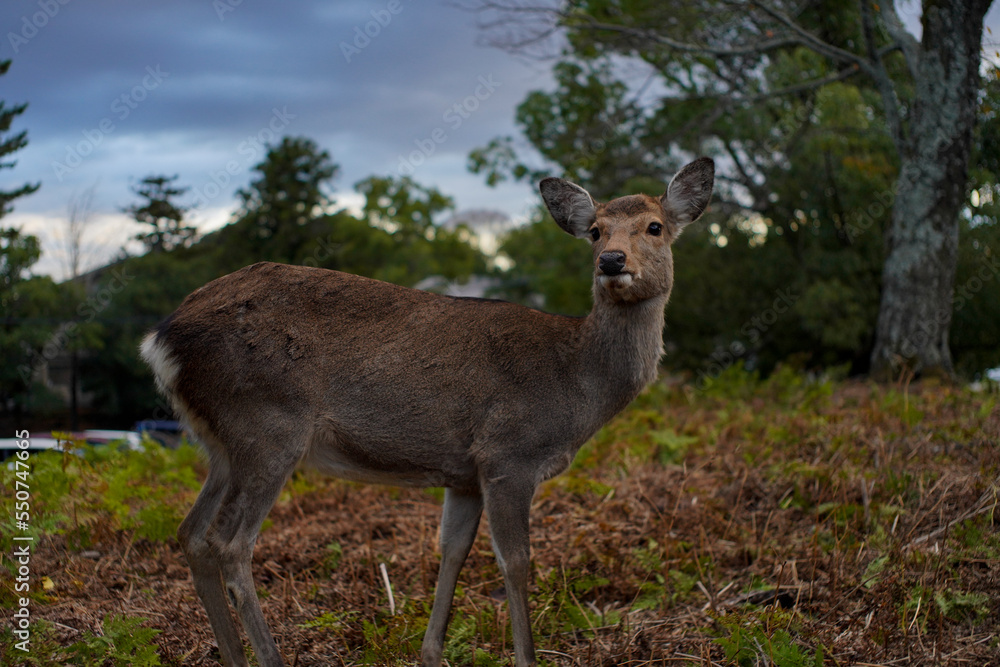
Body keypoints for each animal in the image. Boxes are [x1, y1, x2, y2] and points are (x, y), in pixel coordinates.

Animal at [141, 158, 716, 667]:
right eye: (595, 231)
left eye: (655, 226)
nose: (612, 261)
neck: (574, 385)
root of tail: (161, 339)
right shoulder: (508, 454)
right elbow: (516, 562)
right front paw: (525, 656)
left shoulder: (463, 473)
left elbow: (452, 552)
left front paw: (430, 653)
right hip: (268, 424)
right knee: (230, 542)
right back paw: (269, 657)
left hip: (219, 441)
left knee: (191, 533)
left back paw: (233, 656)